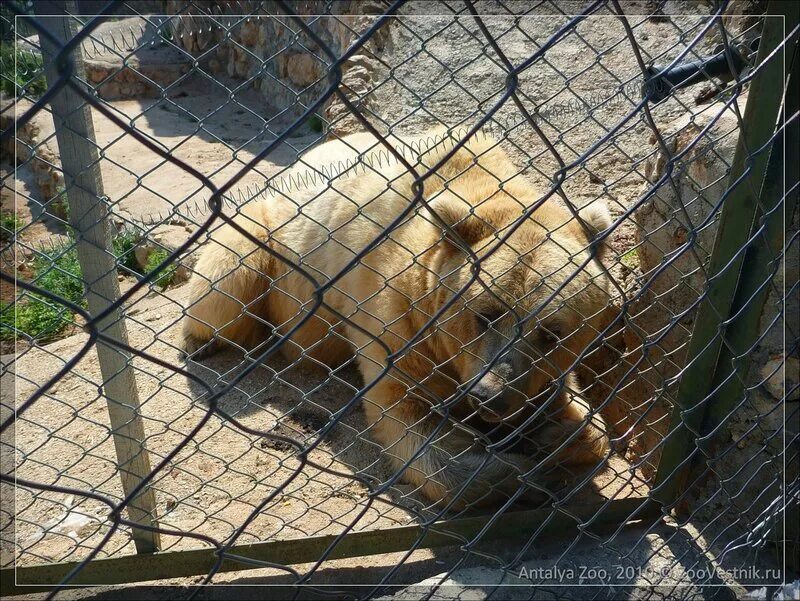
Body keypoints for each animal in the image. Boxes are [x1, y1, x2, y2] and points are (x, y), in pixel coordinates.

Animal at [181, 129, 612, 508]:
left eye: (552, 333)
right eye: (485, 316)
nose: (490, 395)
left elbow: (586, 421)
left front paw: (550, 436)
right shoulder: (392, 312)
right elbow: (406, 417)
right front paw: (524, 474)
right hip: (263, 240)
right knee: (223, 289)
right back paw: (203, 342)